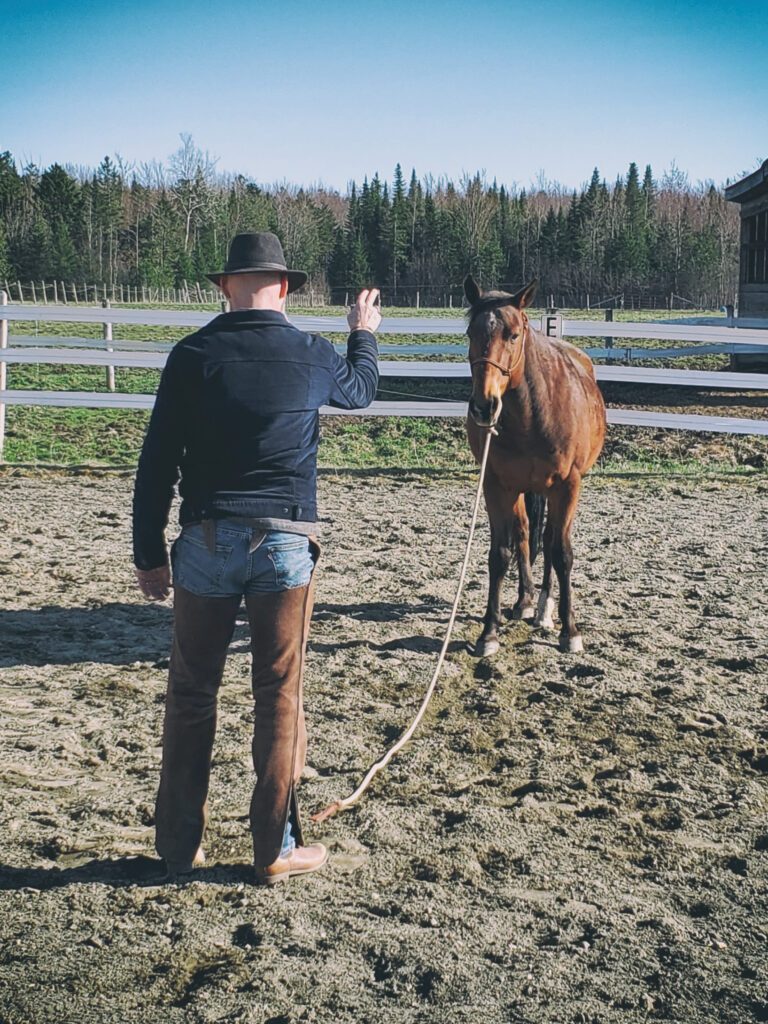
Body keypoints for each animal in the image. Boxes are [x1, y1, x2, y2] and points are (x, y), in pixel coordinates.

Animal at [462, 274, 606, 655]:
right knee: (527, 533)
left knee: (550, 539)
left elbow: (562, 553)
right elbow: (500, 554)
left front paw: (570, 631)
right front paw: (489, 632)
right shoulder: (496, 484)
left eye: (513, 334)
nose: (484, 405)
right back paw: (525, 601)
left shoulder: (567, 486)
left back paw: (543, 608)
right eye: (470, 333)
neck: (532, 414)